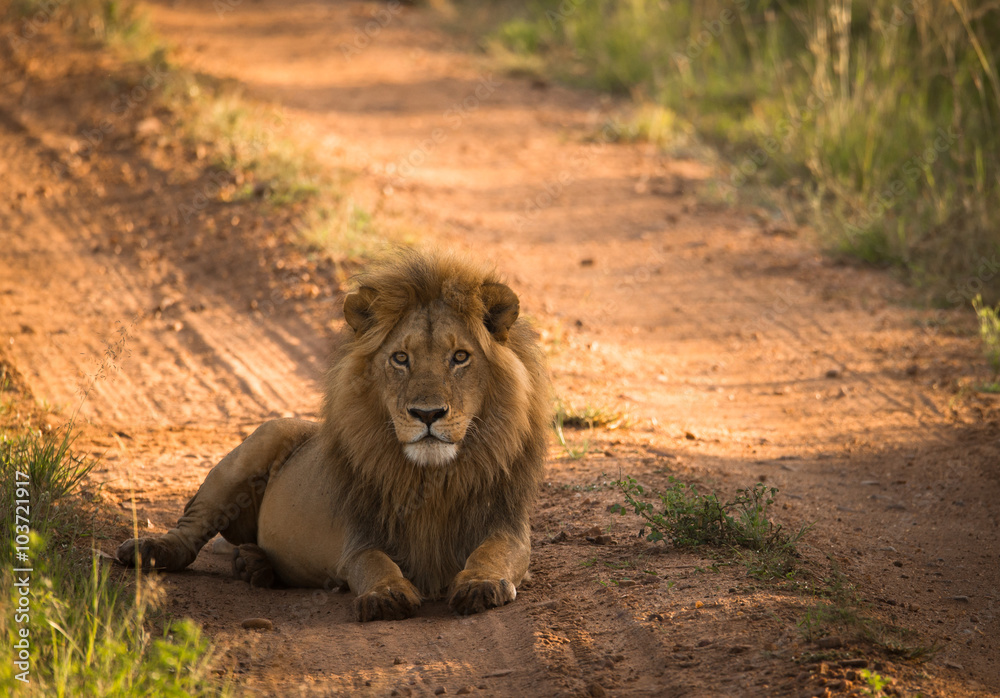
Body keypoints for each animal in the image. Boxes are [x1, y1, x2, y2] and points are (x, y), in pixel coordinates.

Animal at [117, 251, 550, 621]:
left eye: (460, 357)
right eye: (400, 358)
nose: (427, 414)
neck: (432, 477)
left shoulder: (506, 524)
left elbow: (493, 554)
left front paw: (480, 584)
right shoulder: (360, 535)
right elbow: (372, 561)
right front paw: (386, 594)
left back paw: (254, 565)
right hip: (257, 444)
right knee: (191, 526)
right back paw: (152, 550)